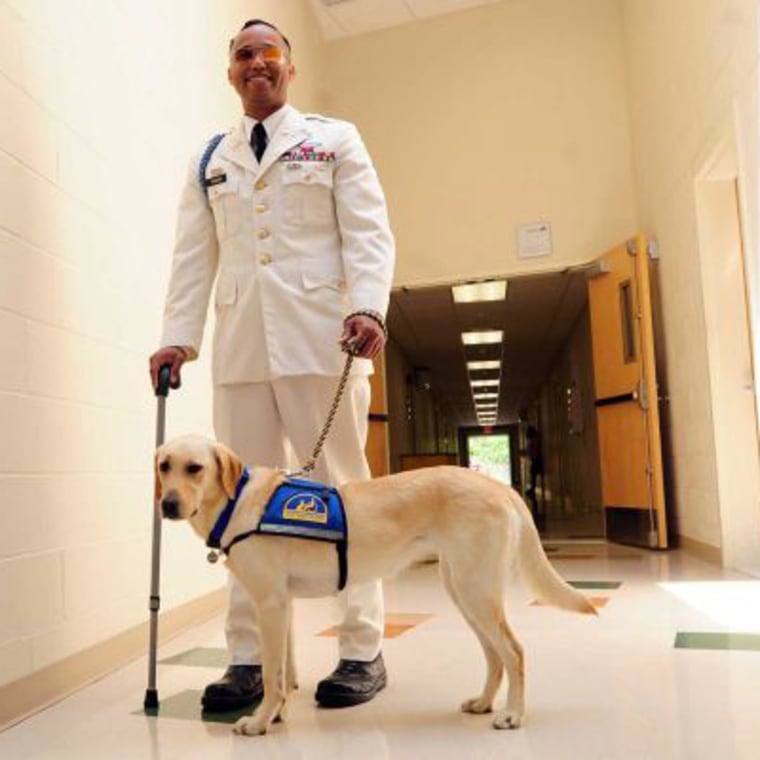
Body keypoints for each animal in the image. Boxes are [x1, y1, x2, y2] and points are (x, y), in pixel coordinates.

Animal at [154, 436, 592, 732]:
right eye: (163, 466)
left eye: (194, 468)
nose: (168, 505)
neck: (238, 502)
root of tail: (499, 486)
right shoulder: (281, 605)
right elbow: (284, 672)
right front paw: (277, 716)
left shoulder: (269, 604)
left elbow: (273, 676)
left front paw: (259, 722)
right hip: (465, 592)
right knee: (495, 655)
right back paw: (485, 703)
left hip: (476, 592)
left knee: (513, 652)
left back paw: (513, 714)